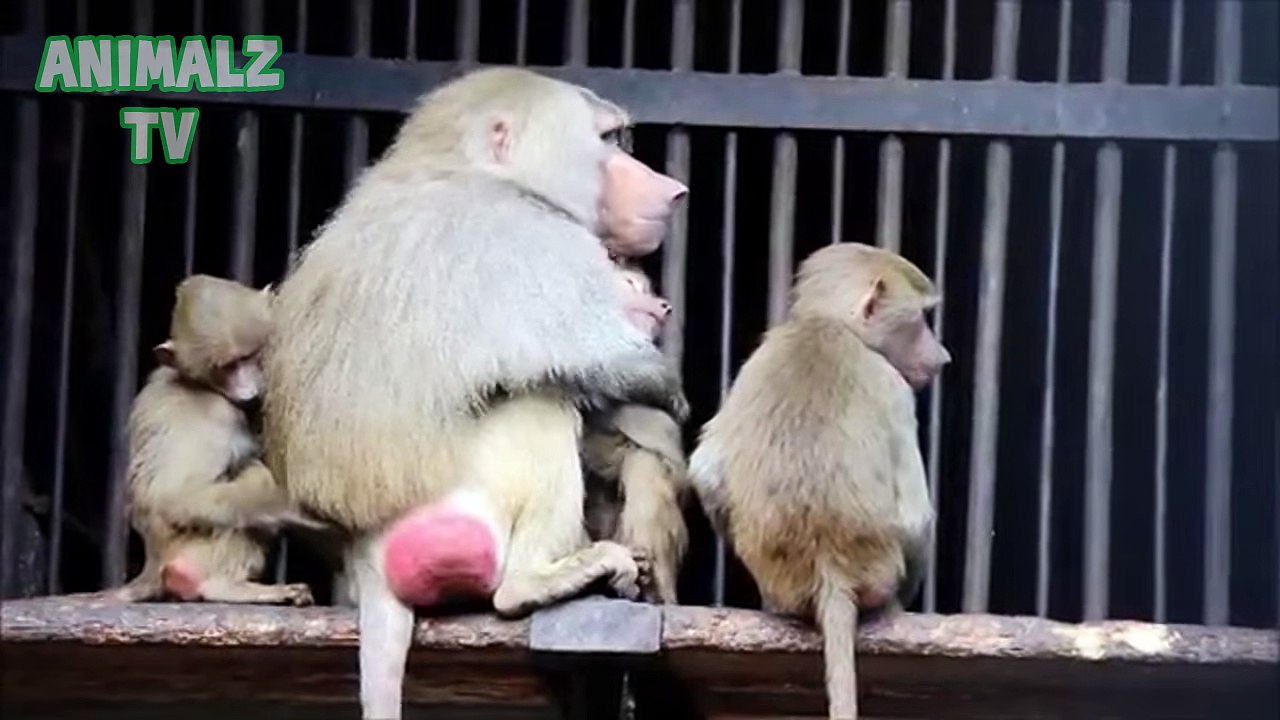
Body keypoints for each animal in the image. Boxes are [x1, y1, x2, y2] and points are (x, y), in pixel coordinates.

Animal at [100, 274, 318, 606]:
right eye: (226, 368)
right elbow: (176, 496)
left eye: (249, 356)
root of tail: (153, 563)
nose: (248, 391)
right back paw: (223, 586)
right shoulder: (216, 414)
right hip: (195, 550)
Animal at [687, 243, 951, 720]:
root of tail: (831, 569)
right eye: (921, 319)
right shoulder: (893, 387)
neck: (829, 325)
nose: (943, 358)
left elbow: (706, 471)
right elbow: (916, 516)